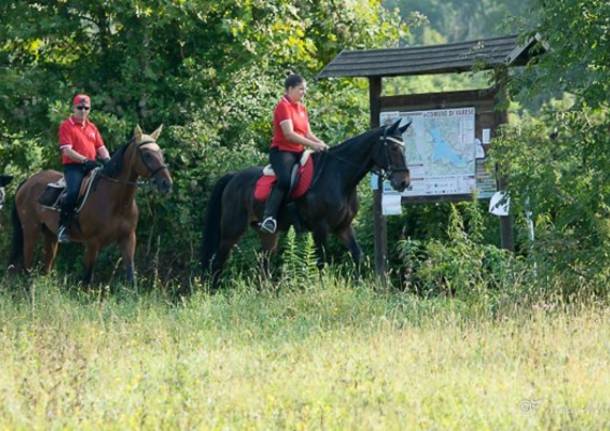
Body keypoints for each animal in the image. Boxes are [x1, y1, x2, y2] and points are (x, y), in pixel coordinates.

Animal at [10, 125, 171, 286]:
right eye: (147, 154)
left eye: (160, 153)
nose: (166, 184)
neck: (117, 203)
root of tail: (27, 181)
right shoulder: (93, 243)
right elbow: (87, 278)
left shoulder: (128, 238)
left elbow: (131, 275)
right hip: (31, 230)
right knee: (27, 266)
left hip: (50, 235)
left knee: (46, 266)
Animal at [202, 119, 410, 286]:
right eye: (393, 148)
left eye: (404, 148)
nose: (404, 182)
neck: (339, 176)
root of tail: (233, 176)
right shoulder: (320, 227)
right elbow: (321, 261)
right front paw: (321, 289)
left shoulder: (343, 227)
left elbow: (358, 256)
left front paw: (364, 287)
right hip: (232, 230)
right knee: (218, 261)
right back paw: (214, 292)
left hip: (268, 234)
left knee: (264, 263)